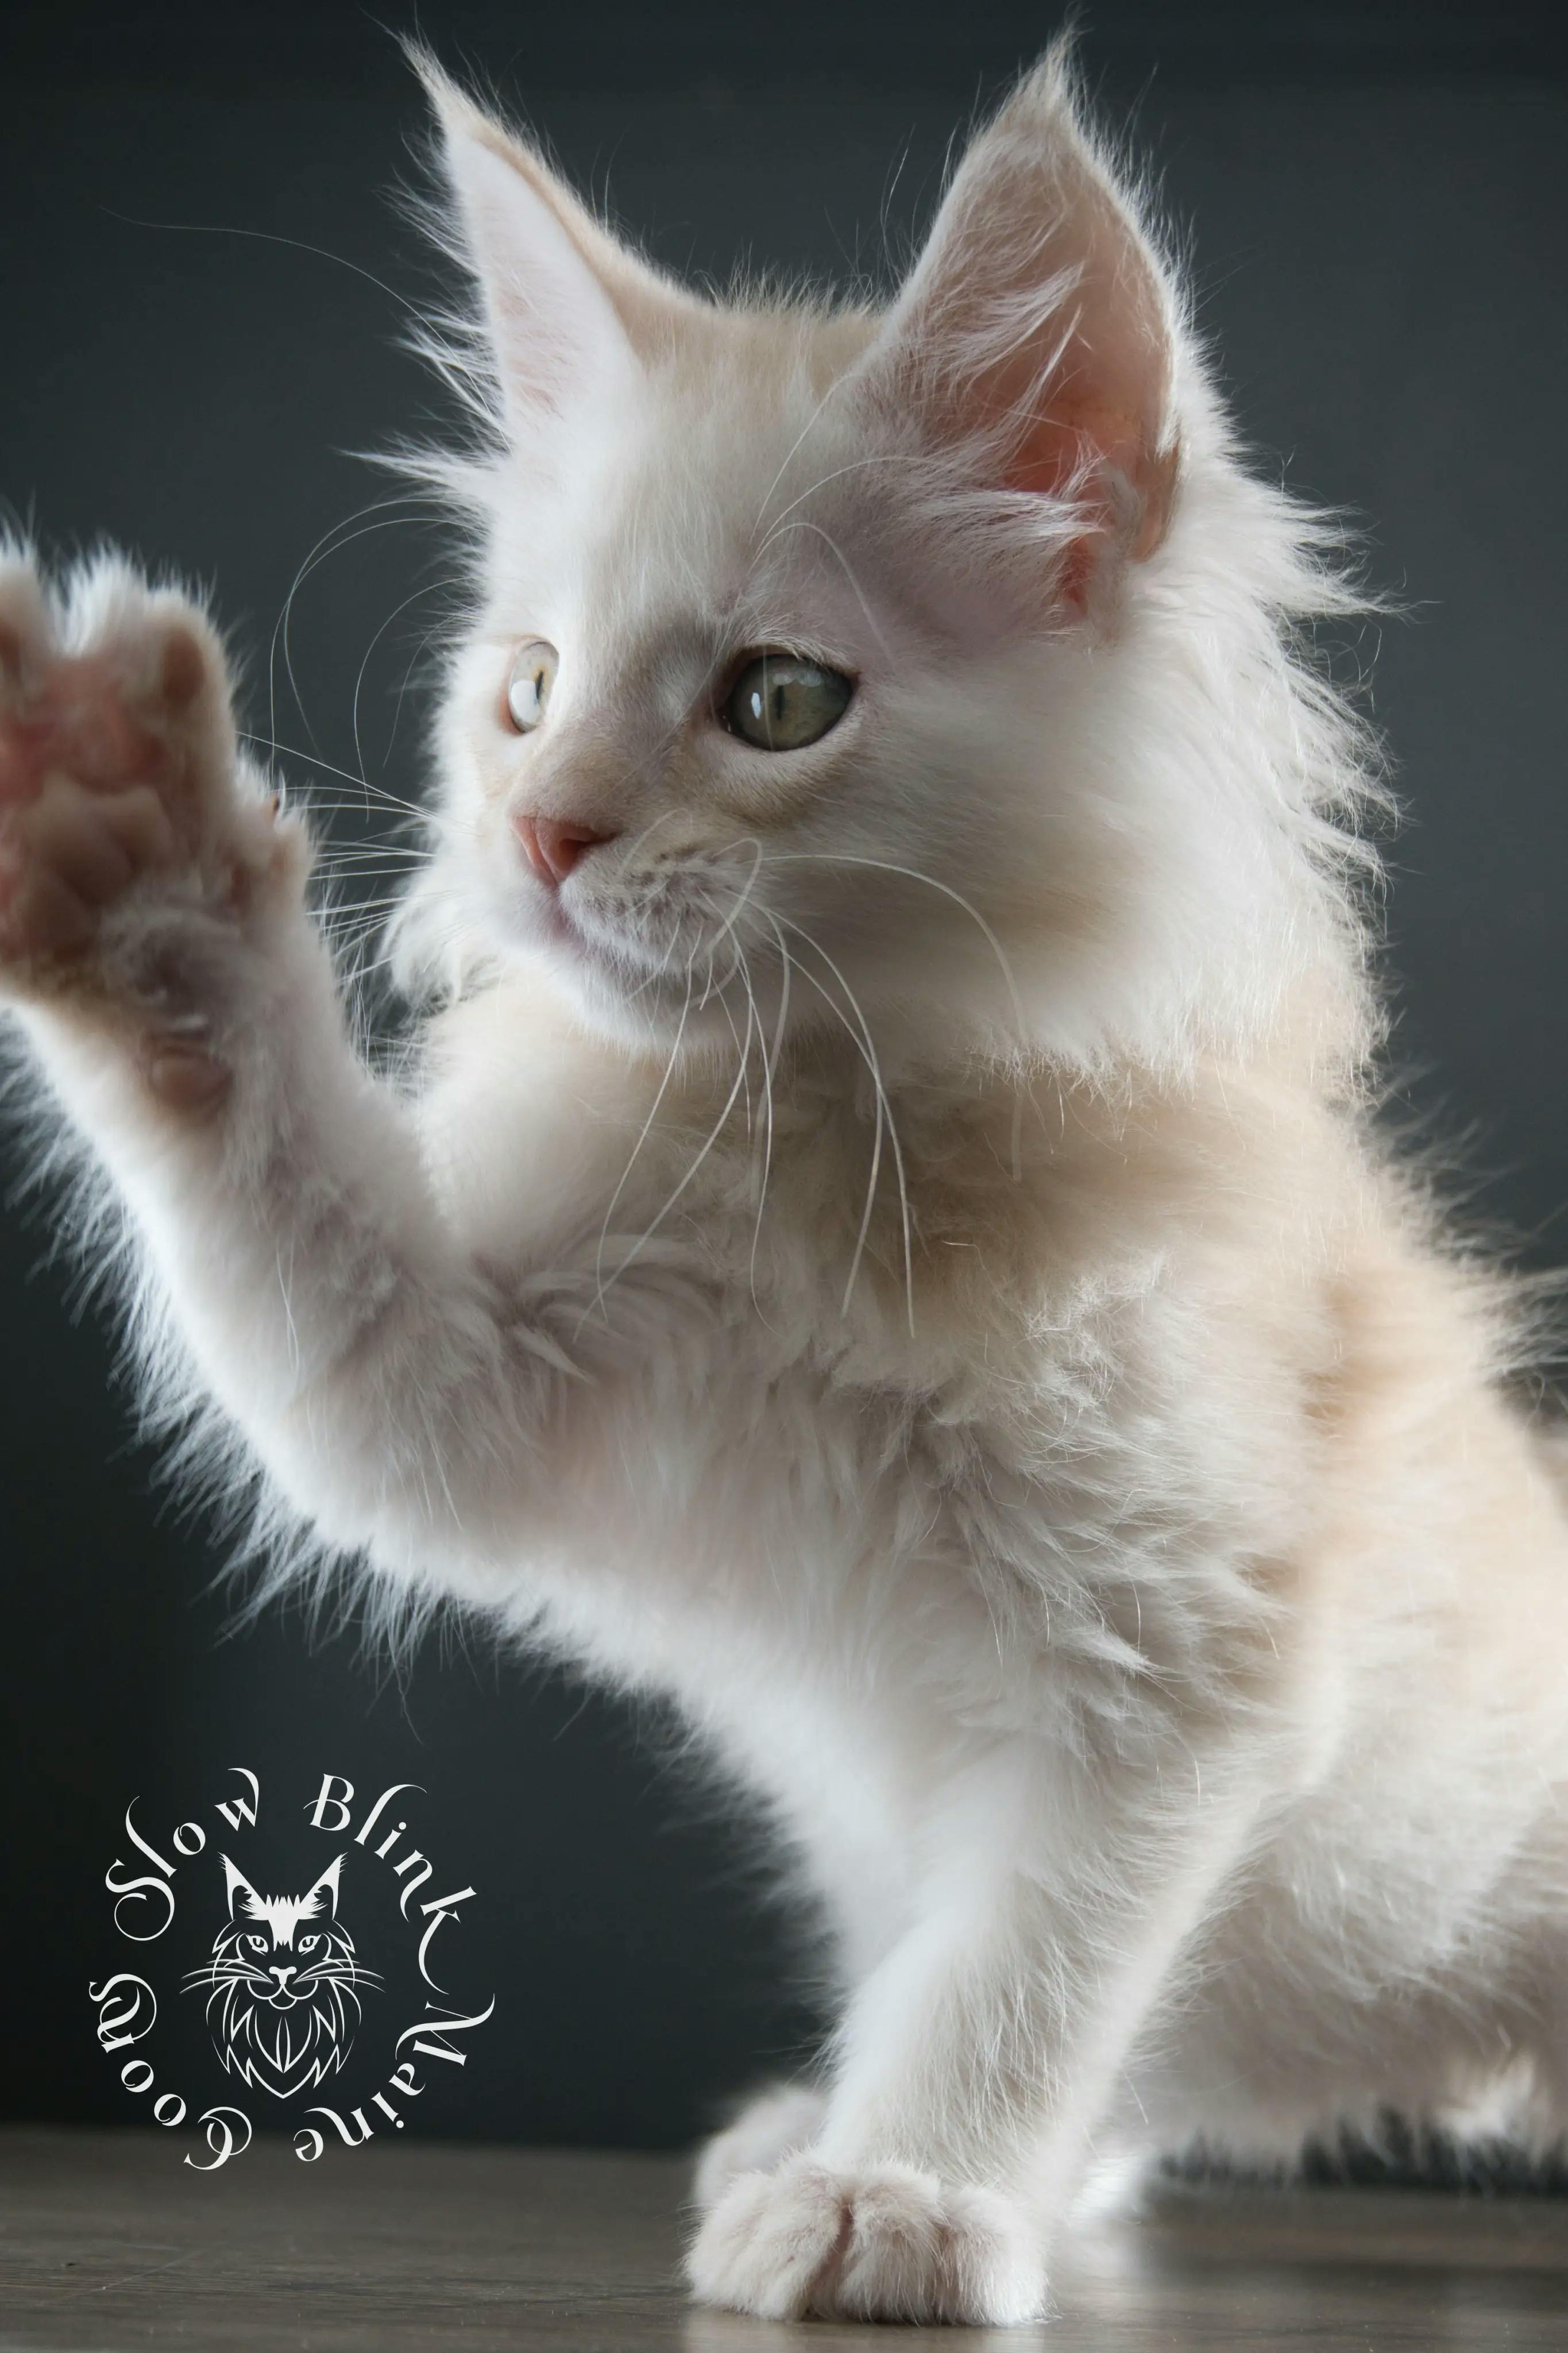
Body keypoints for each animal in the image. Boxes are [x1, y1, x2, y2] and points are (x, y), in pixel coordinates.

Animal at [3, 45, 1568, 2324]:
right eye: (529, 690)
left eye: (774, 703)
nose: (545, 837)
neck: (830, 1152)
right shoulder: (473, 1396)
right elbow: (303, 1270)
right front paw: (129, 867)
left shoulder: (1175, 1665)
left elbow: (1027, 1960)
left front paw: (902, 2192)